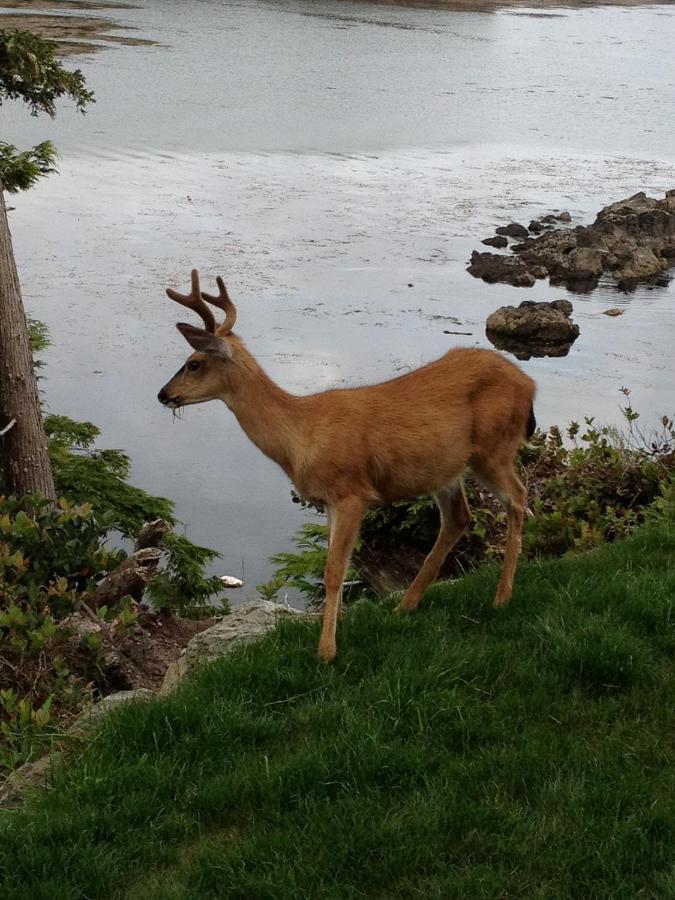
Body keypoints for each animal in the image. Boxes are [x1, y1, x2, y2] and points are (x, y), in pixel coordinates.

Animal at [158, 268, 540, 660]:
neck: (299, 435)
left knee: (519, 499)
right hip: (447, 469)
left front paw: (326, 650)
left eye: (194, 363)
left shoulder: (351, 493)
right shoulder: (328, 500)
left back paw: (501, 596)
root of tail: (530, 385)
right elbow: (335, 566)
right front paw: (334, 628)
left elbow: (334, 570)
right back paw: (406, 605)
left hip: (494, 448)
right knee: (459, 517)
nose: (163, 394)